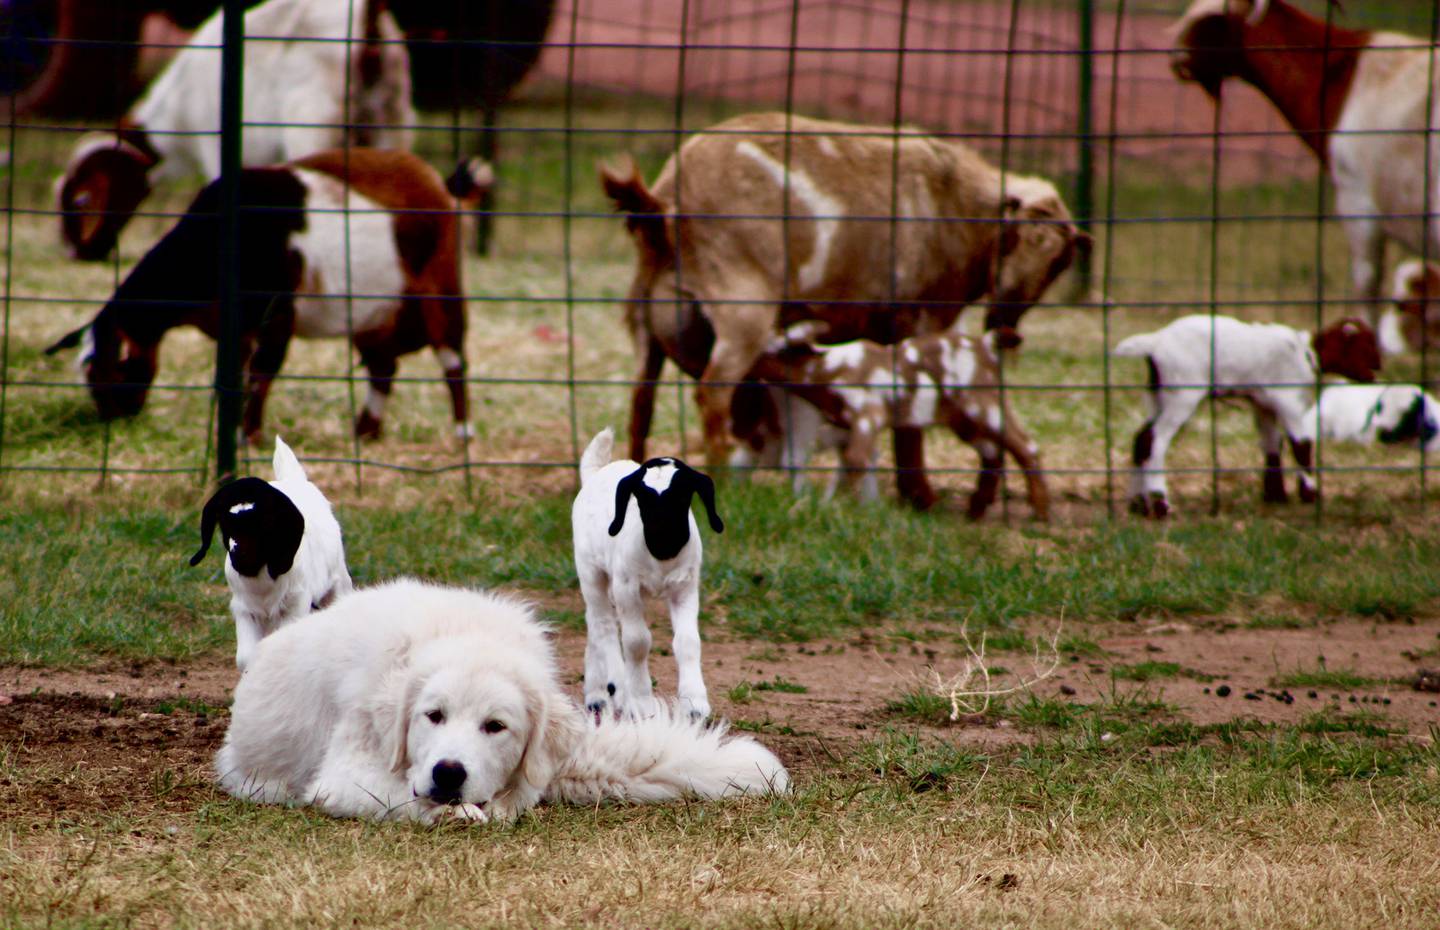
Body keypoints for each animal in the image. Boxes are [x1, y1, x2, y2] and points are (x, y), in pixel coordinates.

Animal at [46, 148, 489, 443]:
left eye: (113, 368)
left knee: (453, 360)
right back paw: (365, 433)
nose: (112, 421)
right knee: (383, 367)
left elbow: (262, 373)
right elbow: (234, 375)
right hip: (373, 313)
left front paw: (250, 436)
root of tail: (438, 184)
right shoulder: (235, 327)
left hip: (440, 288)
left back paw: (462, 434)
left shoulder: (277, 311)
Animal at [53, 0, 408, 260]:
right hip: (390, 122)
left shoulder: (214, 145)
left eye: (82, 199)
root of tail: (367, 22)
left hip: (315, 122)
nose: (74, 254)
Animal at [216, 578, 789, 829]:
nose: (449, 772)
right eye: (433, 716)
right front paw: (456, 812)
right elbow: (402, 795)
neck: (468, 637)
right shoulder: (343, 776)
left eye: (495, 726)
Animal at [743, 323, 1048, 521]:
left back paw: (1040, 513)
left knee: (1025, 446)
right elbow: (850, 463)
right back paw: (975, 510)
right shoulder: (846, 425)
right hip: (963, 419)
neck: (828, 369)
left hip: (985, 404)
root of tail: (986, 344)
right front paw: (839, 505)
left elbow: (855, 460)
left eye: (765, 349)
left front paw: (849, 509)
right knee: (993, 452)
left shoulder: (868, 413)